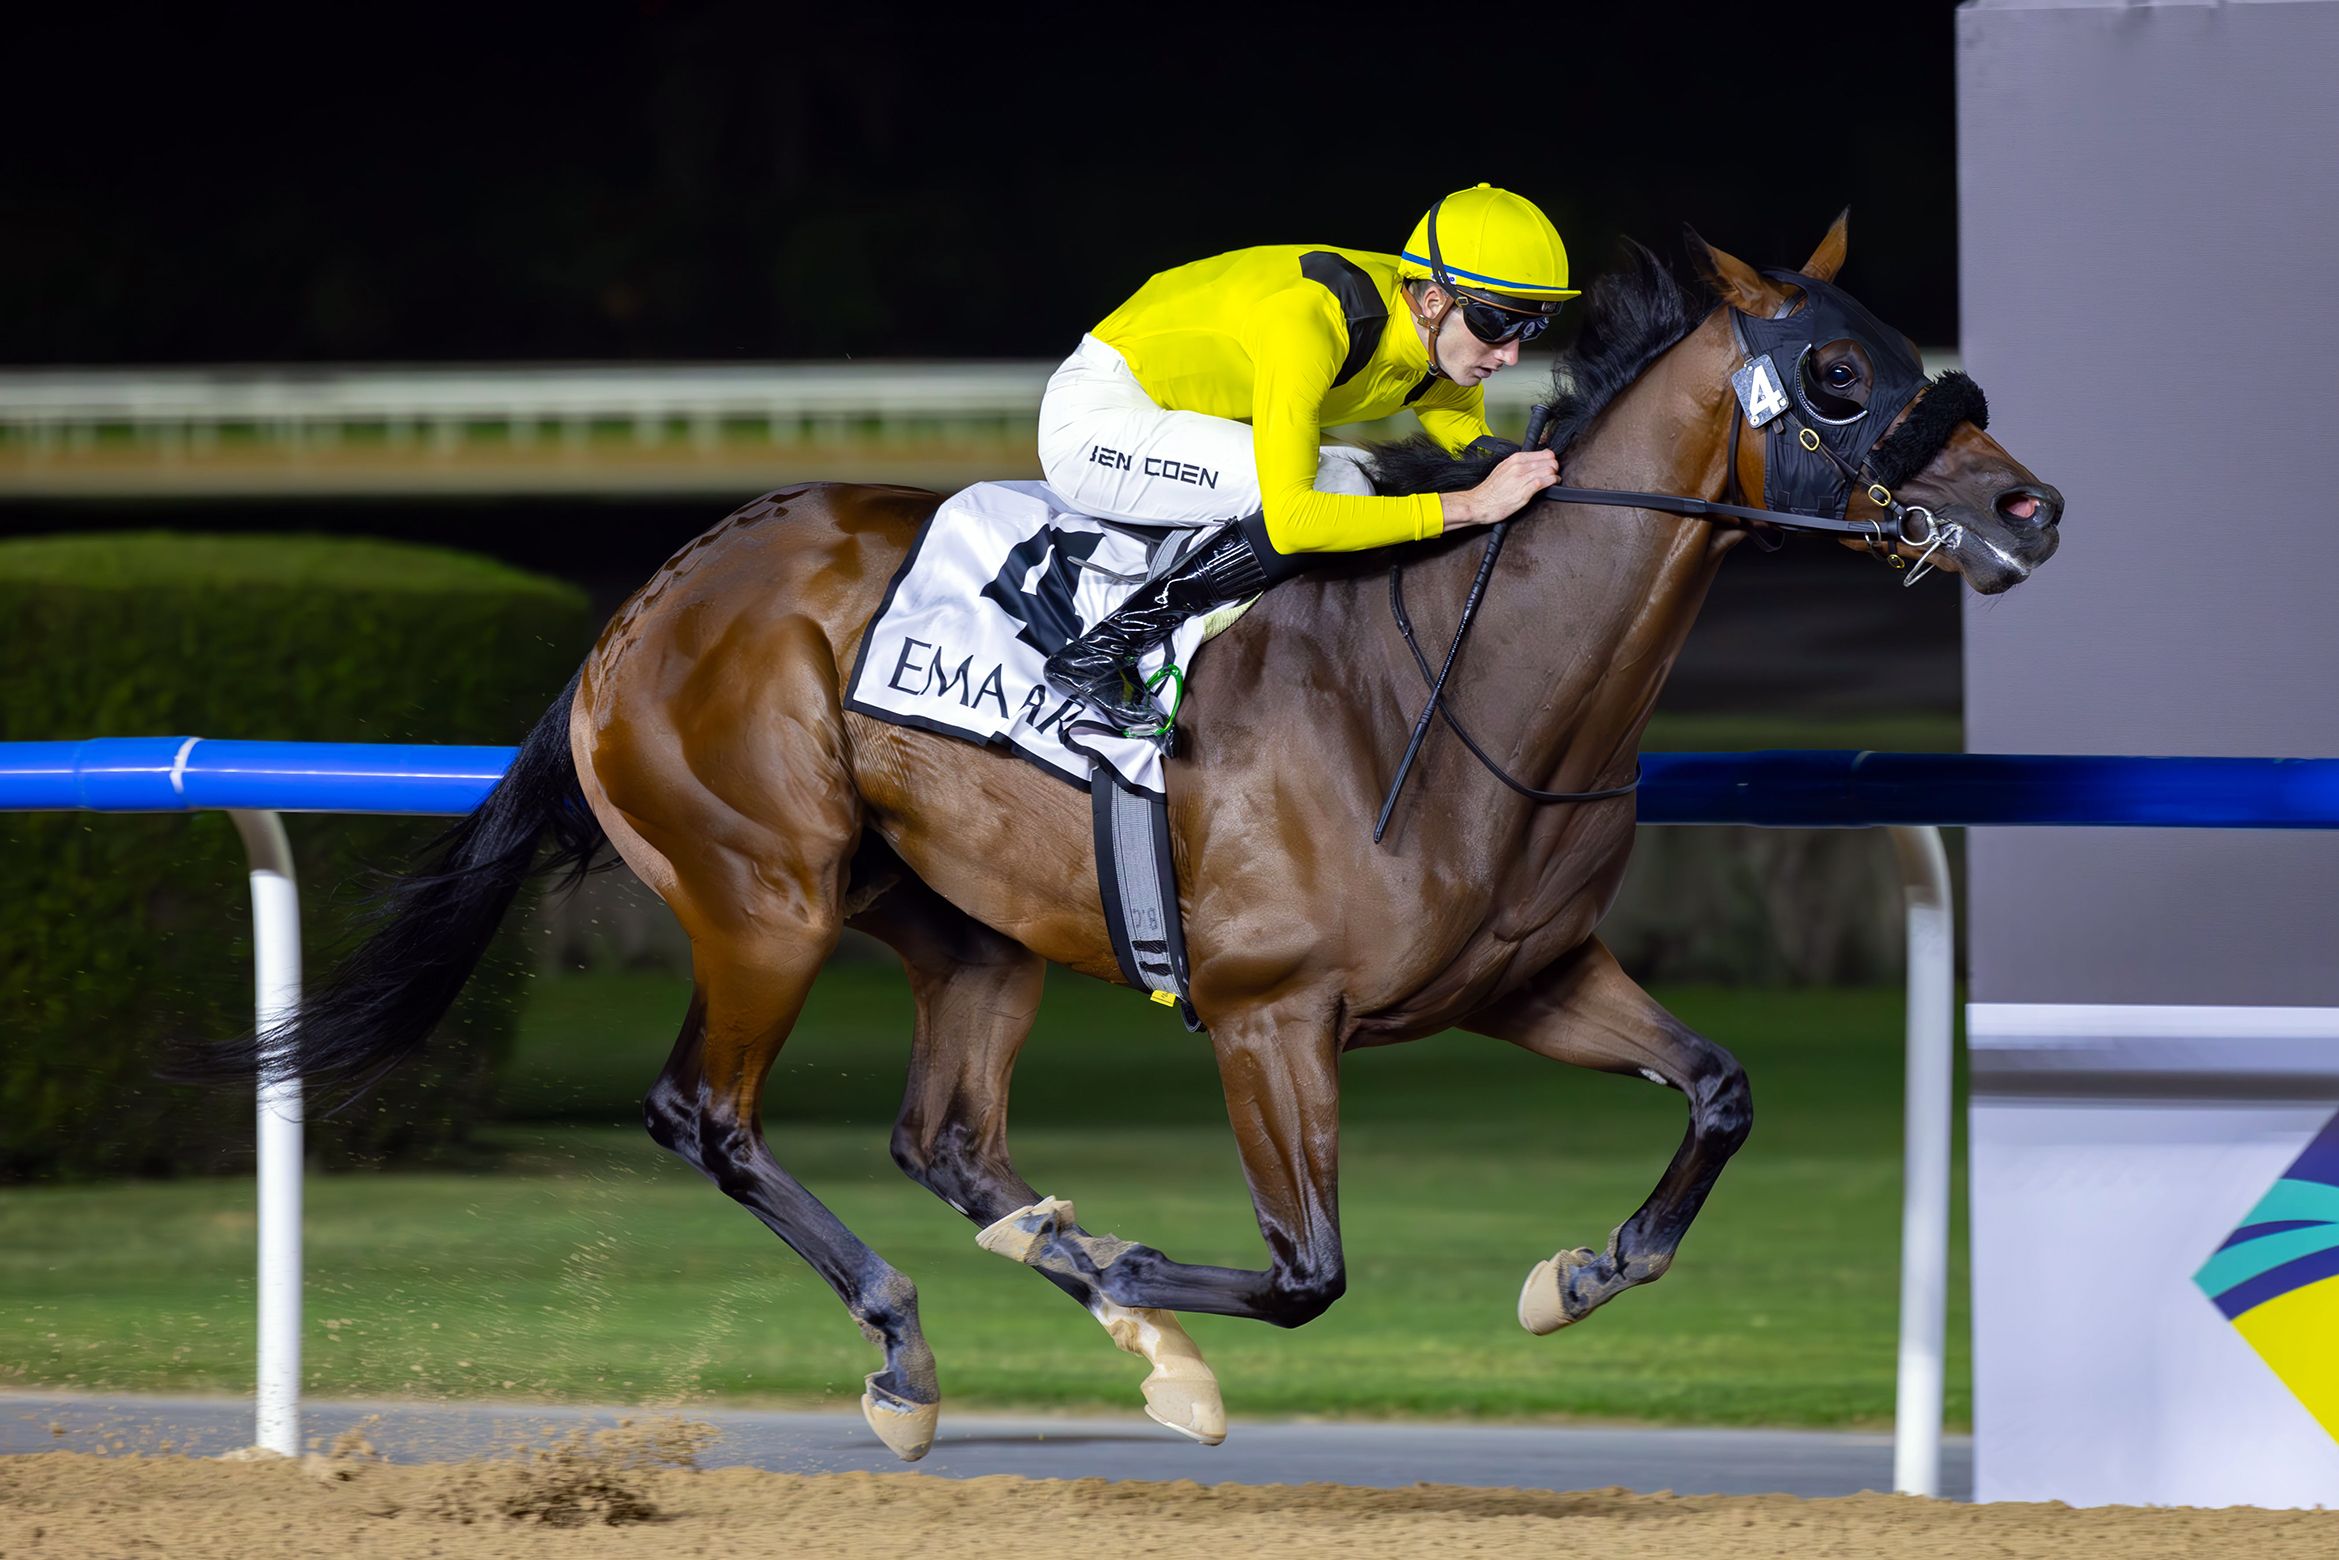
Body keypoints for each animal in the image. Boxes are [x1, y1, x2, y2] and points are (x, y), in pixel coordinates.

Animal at [232, 219, 2067, 1468]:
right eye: (1837, 374)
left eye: (1896, 349)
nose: (2024, 507)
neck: (1467, 675)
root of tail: (649, 599)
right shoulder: (1268, 1016)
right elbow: (1307, 1269)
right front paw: (1124, 1250)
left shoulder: (1525, 980)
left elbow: (1718, 1090)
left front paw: (1578, 1269)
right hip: (761, 896)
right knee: (709, 1116)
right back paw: (916, 1350)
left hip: (964, 925)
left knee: (946, 1140)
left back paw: (1102, 1320)